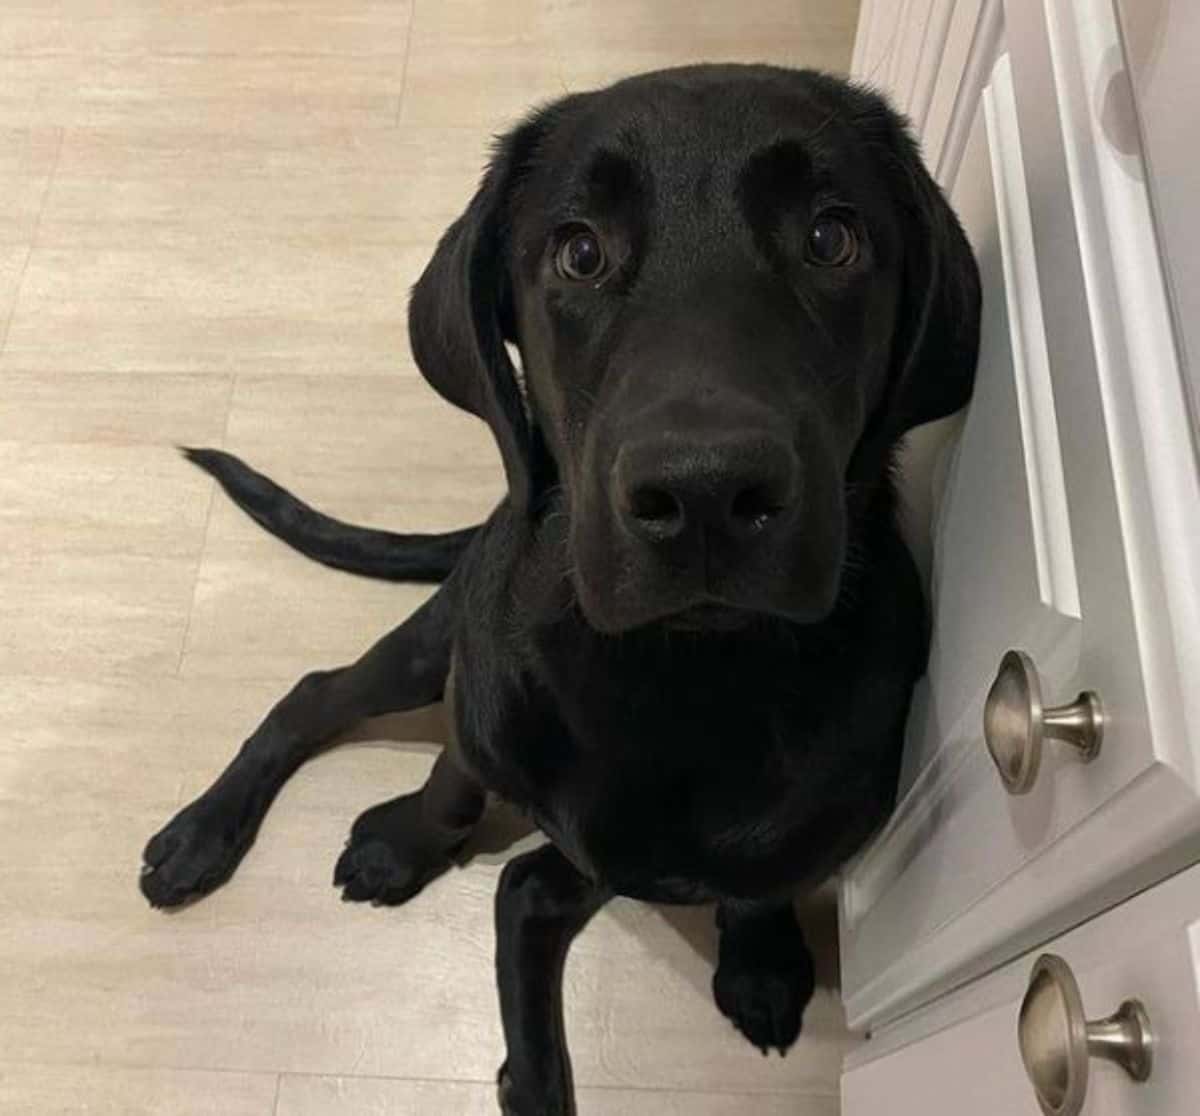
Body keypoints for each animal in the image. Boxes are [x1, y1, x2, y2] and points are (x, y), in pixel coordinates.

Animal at [138, 63, 974, 1113]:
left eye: (833, 238)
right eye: (578, 252)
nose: (705, 493)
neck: (684, 680)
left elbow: (759, 878)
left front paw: (760, 957)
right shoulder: (485, 705)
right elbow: (454, 780)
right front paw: (407, 843)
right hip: (438, 643)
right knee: (316, 694)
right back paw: (201, 835)